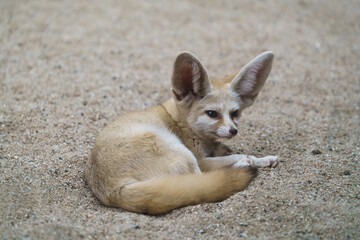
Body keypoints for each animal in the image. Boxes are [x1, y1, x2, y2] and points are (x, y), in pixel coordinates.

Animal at [85, 50, 278, 214]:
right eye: (212, 114)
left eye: (235, 113)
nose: (233, 131)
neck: (179, 121)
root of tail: (113, 190)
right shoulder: (201, 159)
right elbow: (237, 157)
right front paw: (255, 159)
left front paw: (263, 158)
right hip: (182, 153)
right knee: (201, 179)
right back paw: (244, 165)